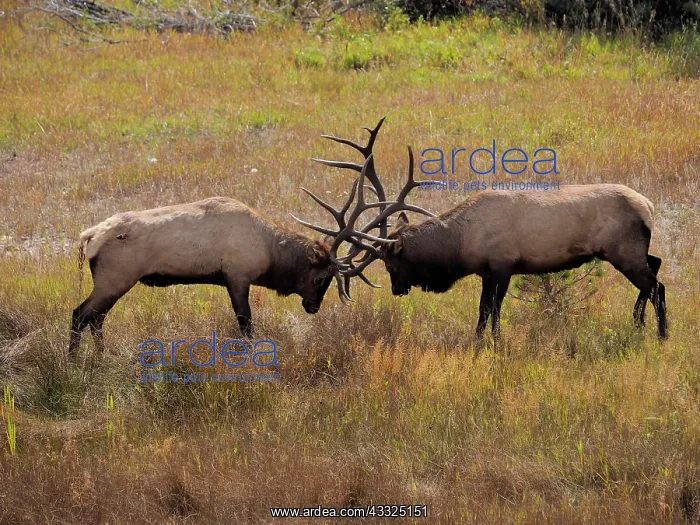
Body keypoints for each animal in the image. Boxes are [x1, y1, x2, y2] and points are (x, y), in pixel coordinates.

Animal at [293, 119, 668, 341]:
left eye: (391, 264)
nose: (397, 291)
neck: (462, 244)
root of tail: (649, 206)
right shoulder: (487, 271)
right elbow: (482, 311)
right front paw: (478, 342)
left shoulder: (503, 265)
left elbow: (495, 310)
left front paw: (496, 343)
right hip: (632, 250)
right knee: (657, 264)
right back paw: (638, 321)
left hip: (622, 251)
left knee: (657, 286)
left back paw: (662, 334)